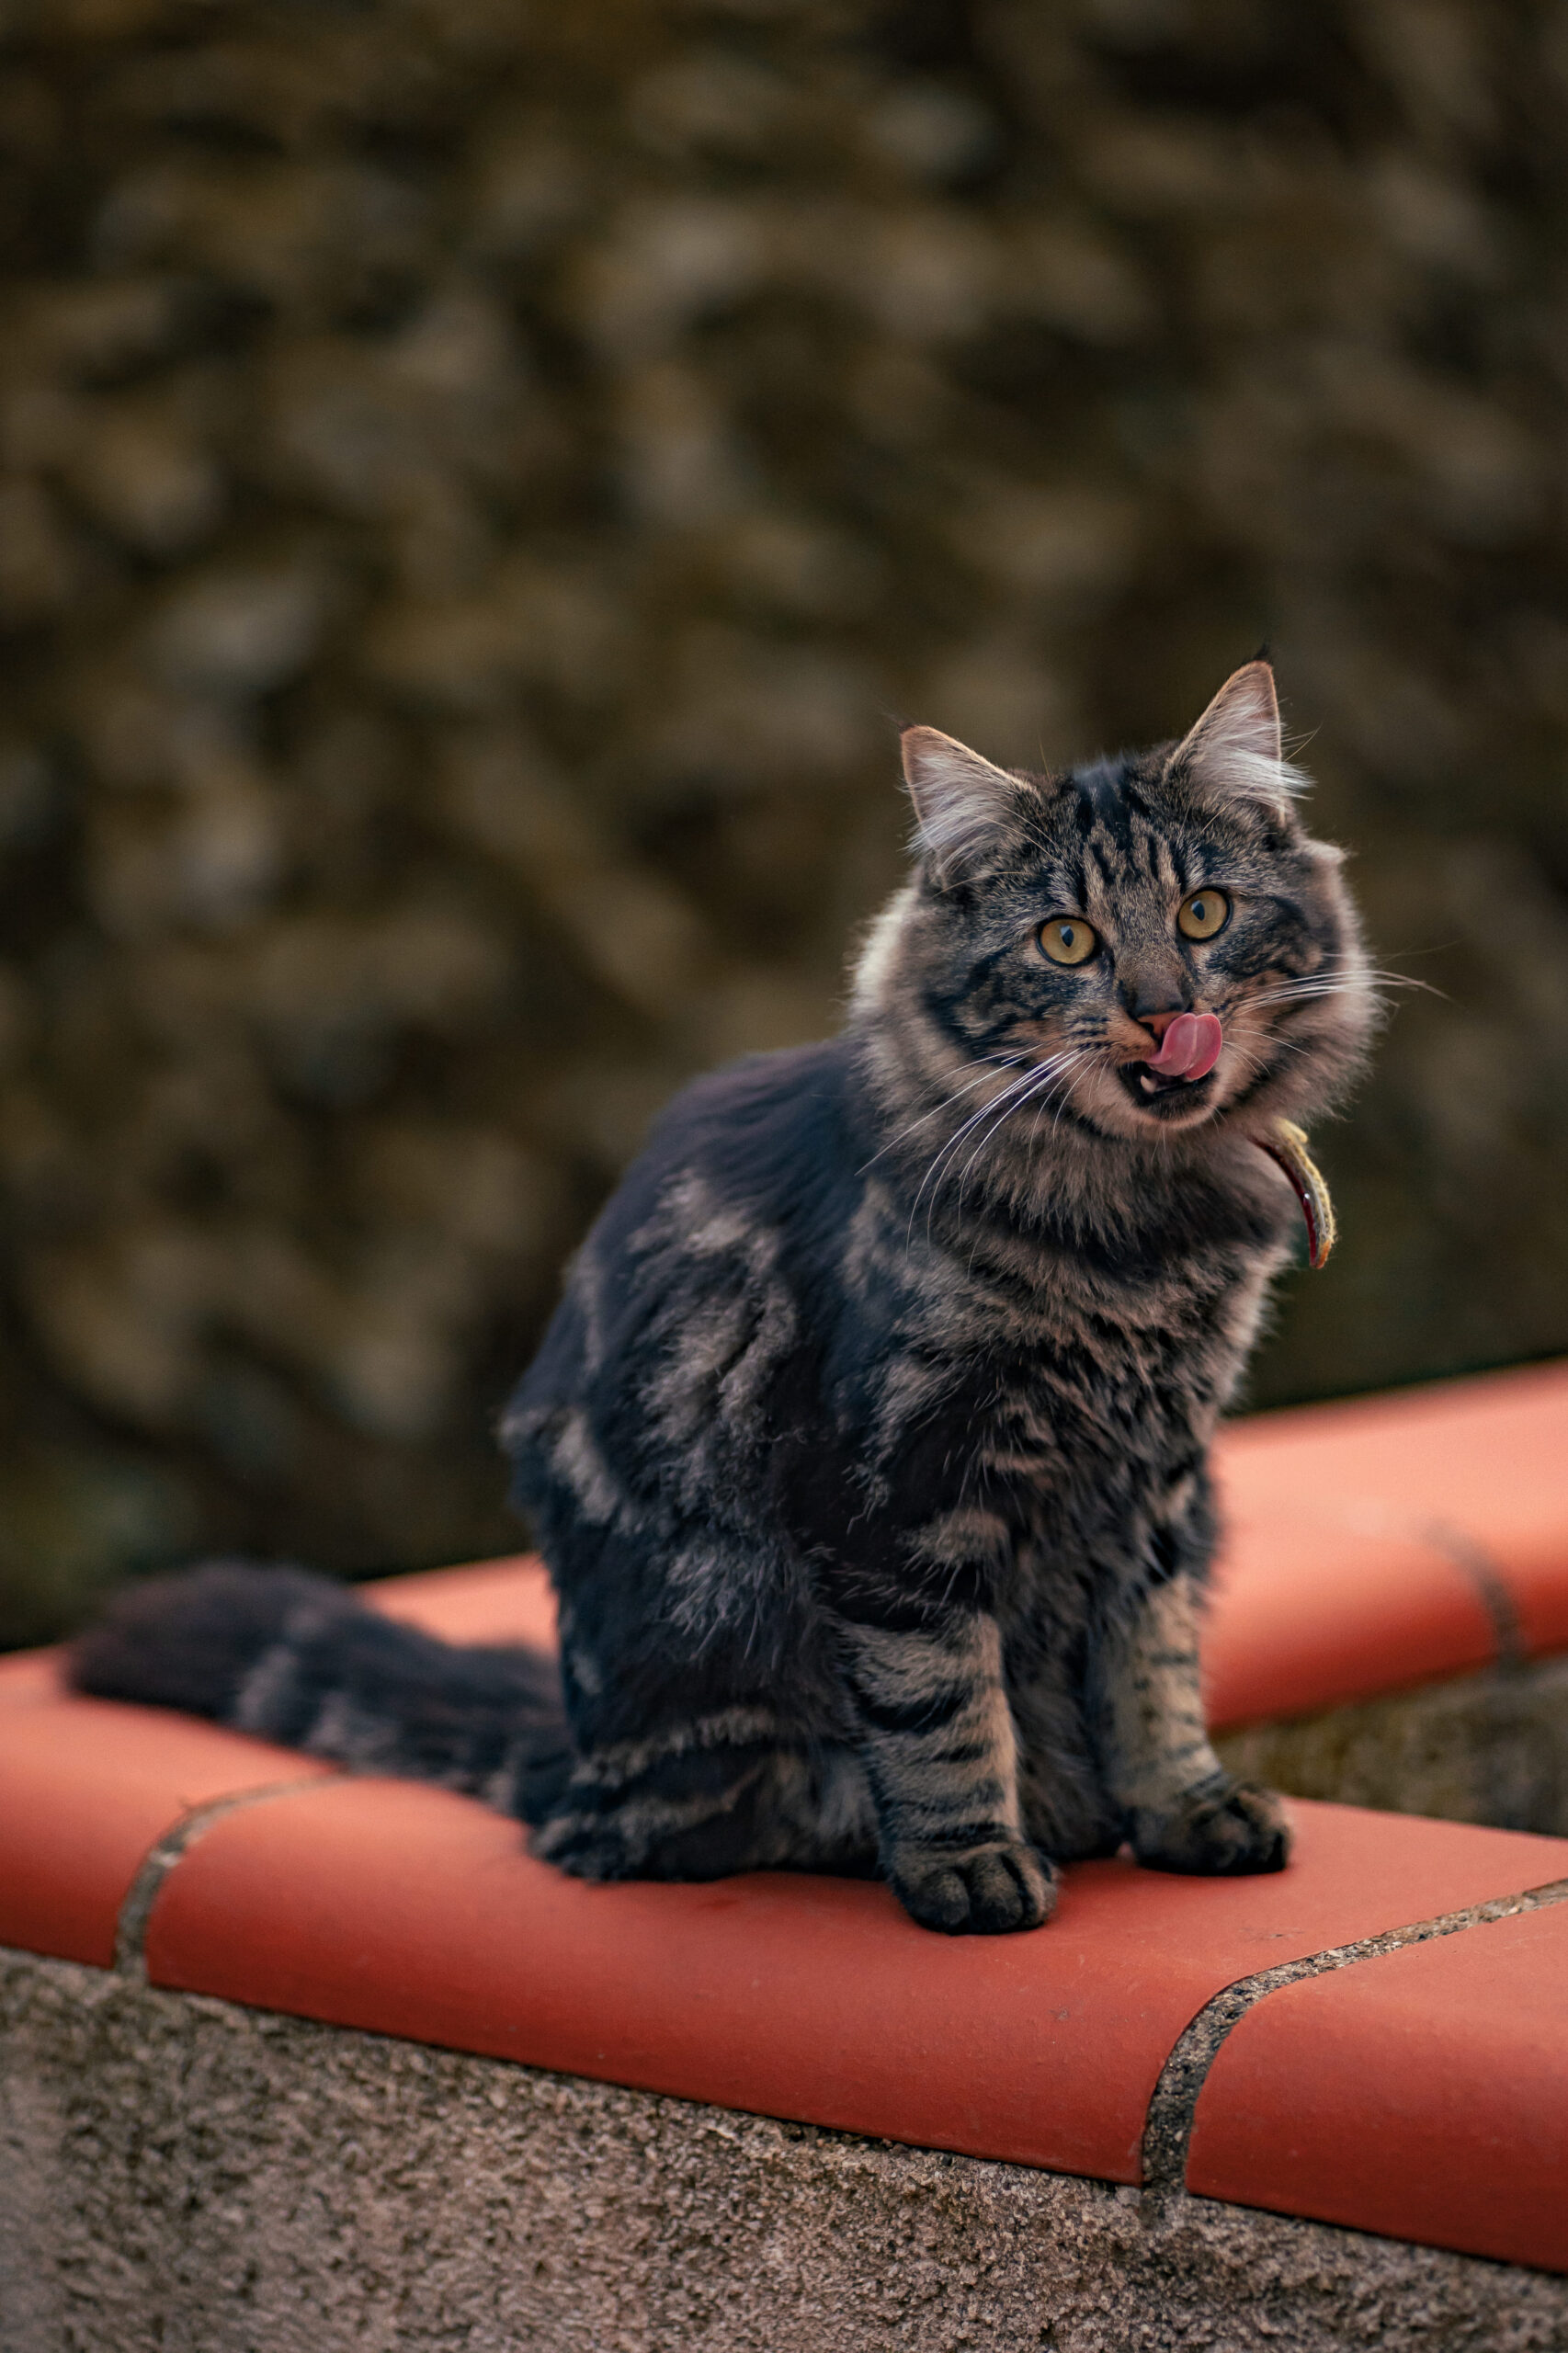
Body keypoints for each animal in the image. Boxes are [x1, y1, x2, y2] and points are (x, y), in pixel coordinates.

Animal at [73, 658, 1365, 1929]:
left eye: (1201, 915)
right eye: (1065, 940)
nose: (1161, 1009)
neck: (1133, 1223)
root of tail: (578, 1772)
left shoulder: (1155, 1480)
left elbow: (1151, 1664)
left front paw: (1184, 1809)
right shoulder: (895, 1491)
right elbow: (941, 1705)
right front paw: (967, 1865)